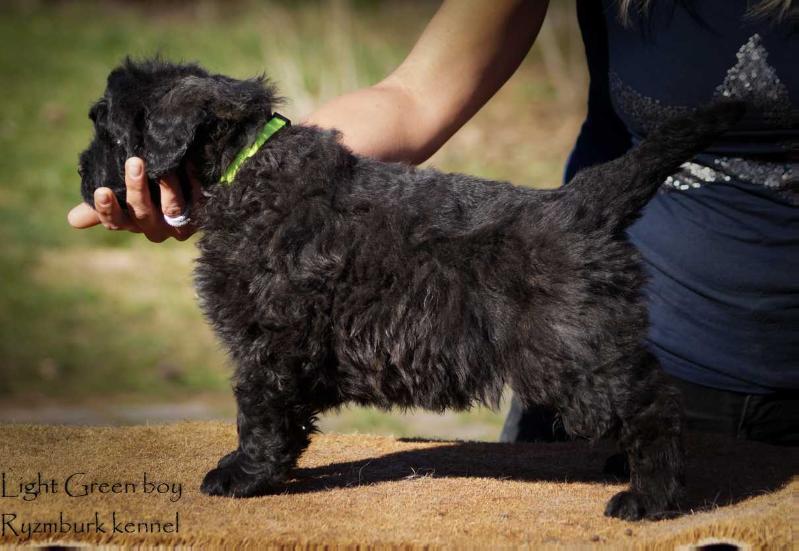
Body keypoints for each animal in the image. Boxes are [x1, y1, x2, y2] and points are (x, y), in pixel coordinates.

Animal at [79, 60, 744, 520]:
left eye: (106, 129)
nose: (82, 175)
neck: (246, 171)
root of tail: (586, 205)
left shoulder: (268, 341)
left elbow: (260, 412)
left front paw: (243, 475)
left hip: (573, 353)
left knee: (654, 405)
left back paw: (650, 497)